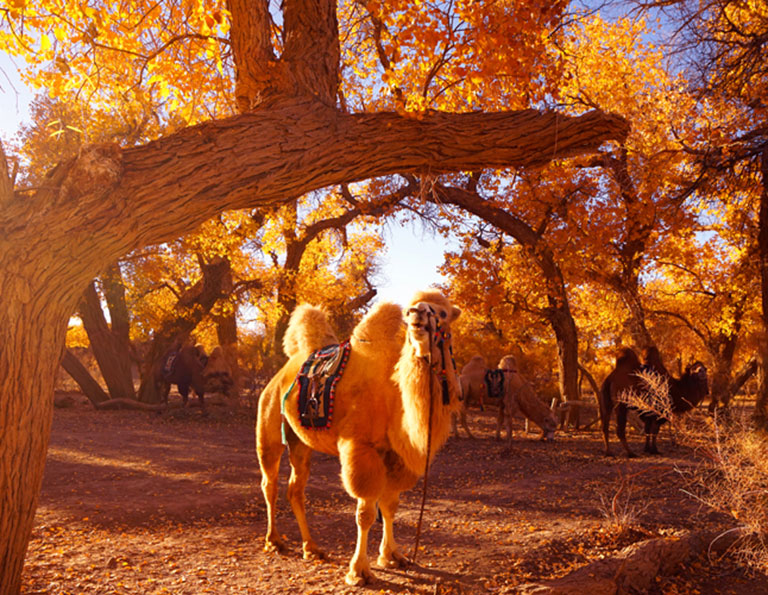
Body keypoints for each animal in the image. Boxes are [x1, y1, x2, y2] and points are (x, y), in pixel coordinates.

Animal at [256, 290, 462, 588]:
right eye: (411, 308)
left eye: (443, 313)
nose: (417, 313)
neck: (394, 394)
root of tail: (282, 371)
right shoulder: (360, 448)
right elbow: (365, 513)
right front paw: (359, 571)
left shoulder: (395, 455)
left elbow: (390, 506)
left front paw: (392, 556)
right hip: (269, 424)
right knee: (269, 482)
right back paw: (274, 542)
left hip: (300, 443)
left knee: (295, 488)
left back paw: (312, 548)